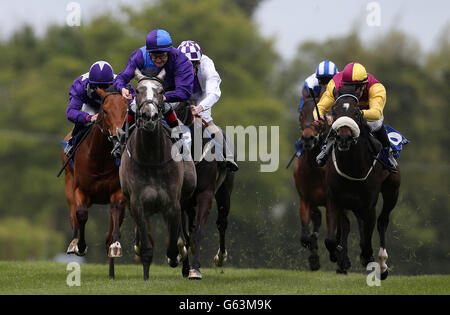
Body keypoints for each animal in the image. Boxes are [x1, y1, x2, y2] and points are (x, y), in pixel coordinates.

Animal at [61, 87, 128, 278]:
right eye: (104, 111)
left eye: (126, 110)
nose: (118, 136)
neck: (100, 158)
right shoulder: (81, 190)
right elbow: (81, 214)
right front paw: (81, 246)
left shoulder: (117, 192)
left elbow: (115, 217)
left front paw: (115, 248)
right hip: (69, 184)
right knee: (73, 214)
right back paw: (74, 242)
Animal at [119, 69, 197, 282]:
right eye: (137, 90)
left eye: (161, 91)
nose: (150, 116)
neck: (152, 158)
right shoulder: (137, 204)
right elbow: (146, 246)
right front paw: (146, 275)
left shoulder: (172, 204)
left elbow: (174, 244)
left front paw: (175, 257)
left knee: (183, 235)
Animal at [324, 89, 400, 278]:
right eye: (334, 111)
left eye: (356, 113)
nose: (344, 138)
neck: (352, 166)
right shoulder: (334, 199)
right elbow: (330, 239)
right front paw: (338, 256)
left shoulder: (369, 205)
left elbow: (367, 241)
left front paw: (370, 260)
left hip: (392, 191)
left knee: (382, 221)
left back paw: (382, 263)